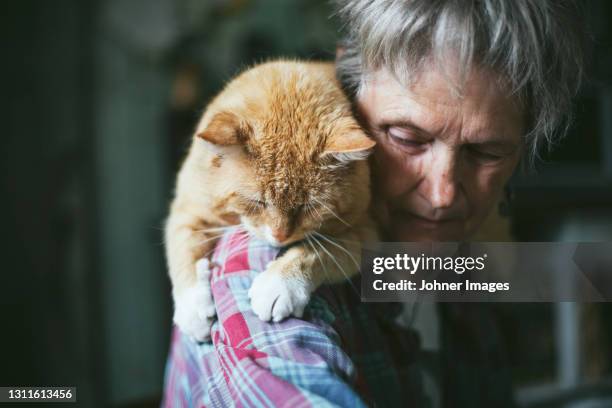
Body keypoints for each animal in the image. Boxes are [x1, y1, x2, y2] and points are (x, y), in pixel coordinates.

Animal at [165, 60, 380, 342]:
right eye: (257, 202)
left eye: (309, 206)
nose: (280, 237)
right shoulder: (188, 208)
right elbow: (183, 247)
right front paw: (192, 308)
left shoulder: (366, 232)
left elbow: (316, 251)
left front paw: (279, 285)